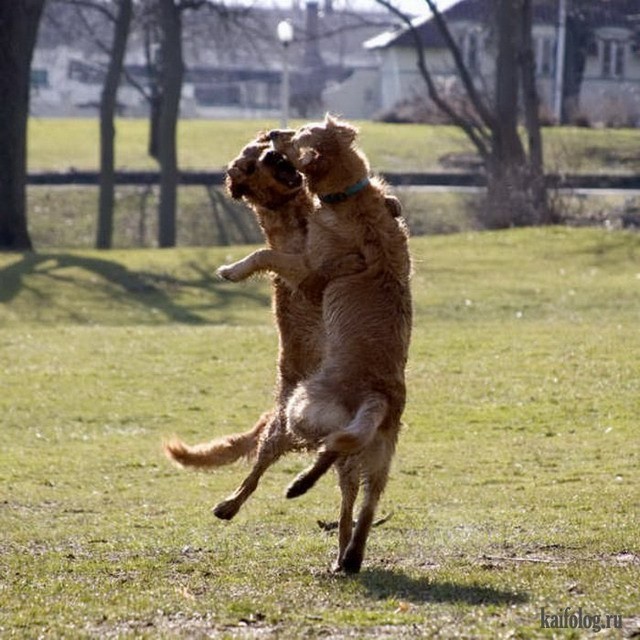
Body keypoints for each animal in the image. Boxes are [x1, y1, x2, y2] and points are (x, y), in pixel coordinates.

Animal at [218, 114, 412, 568]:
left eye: (295, 137)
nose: (273, 136)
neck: (350, 196)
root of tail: (377, 394)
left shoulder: (308, 273)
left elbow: (264, 255)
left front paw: (232, 270)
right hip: (379, 456)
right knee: (362, 499)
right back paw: (349, 555)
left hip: (300, 410)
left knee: (327, 447)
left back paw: (287, 489)